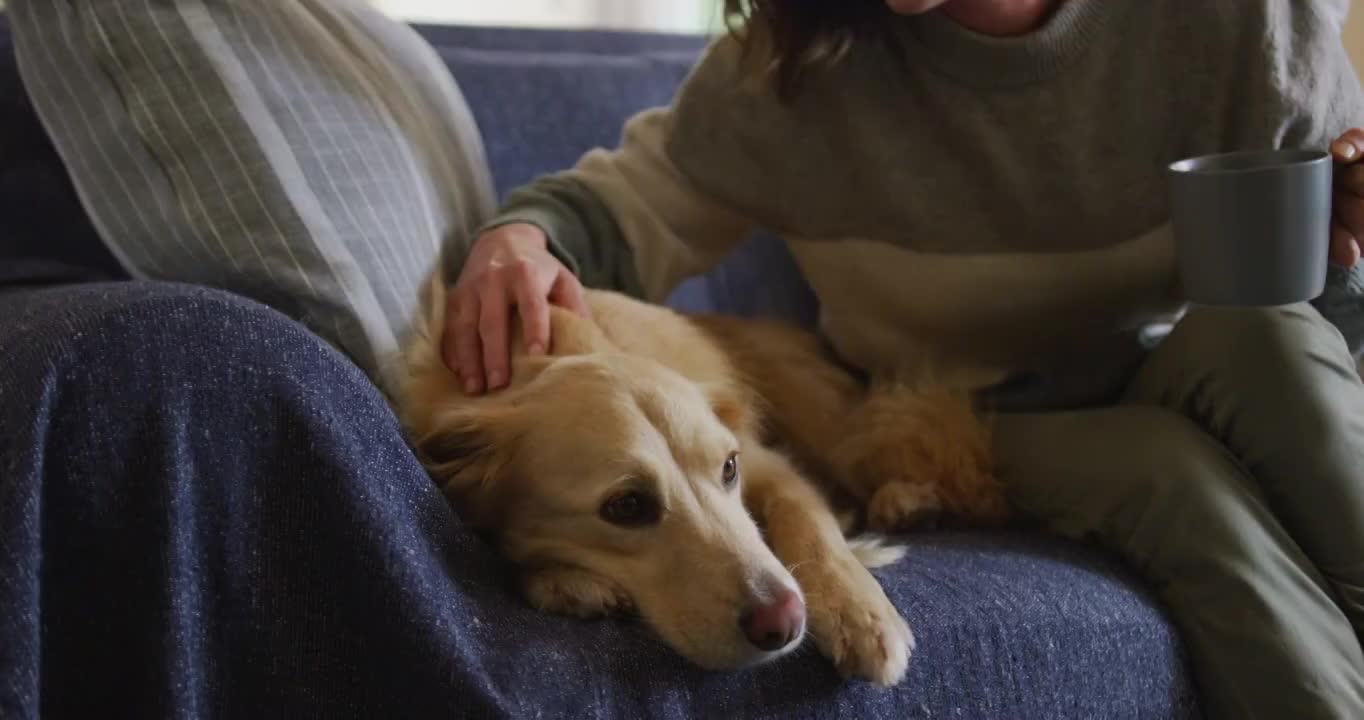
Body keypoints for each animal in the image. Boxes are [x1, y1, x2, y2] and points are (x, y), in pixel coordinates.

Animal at [395, 275, 1003, 687]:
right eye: (625, 506)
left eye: (728, 468)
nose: (785, 622)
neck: (540, 355)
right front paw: (567, 582)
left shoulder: (770, 465)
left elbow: (810, 525)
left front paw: (859, 610)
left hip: (834, 423)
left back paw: (908, 501)